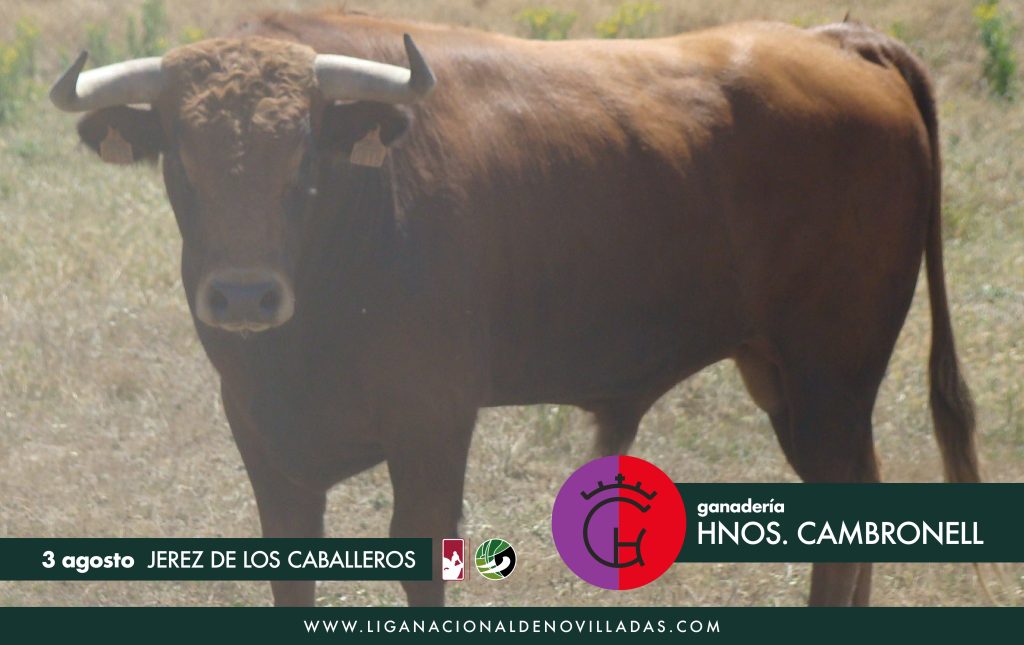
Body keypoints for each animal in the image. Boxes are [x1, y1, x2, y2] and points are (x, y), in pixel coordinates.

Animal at [51, 11, 978, 607]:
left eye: (303, 158)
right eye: (183, 158)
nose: (244, 294)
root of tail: (835, 41)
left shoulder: (431, 423)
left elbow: (423, 558)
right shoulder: (265, 441)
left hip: (829, 377)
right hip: (791, 379)